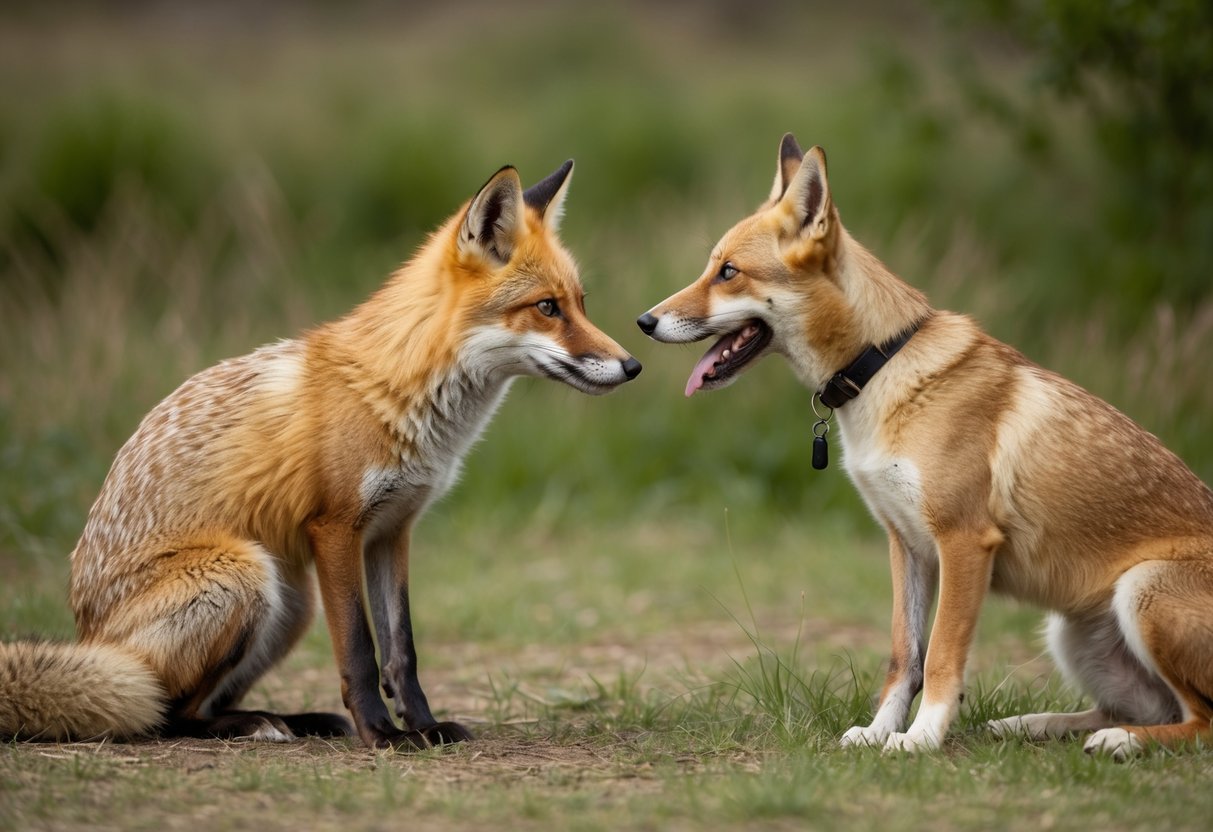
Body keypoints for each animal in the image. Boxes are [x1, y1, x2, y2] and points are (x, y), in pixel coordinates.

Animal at [0, 160, 641, 749]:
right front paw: (382, 736)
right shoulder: (335, 529)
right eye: (547, 307)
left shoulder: (393, 530)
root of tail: (89, 633)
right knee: (161, 714)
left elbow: (401, 651)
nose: (632, 364)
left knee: (190, 705)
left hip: (291, 603)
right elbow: (359, 649)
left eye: (581, 303)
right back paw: (256, 724)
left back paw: (292, 719)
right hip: (244, 576)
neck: (399, 392)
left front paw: (423, 727)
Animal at [637, 133, 1213, 759]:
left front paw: (922, 738)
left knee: (1198, 722)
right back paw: (1033, 725)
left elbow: (940, 660)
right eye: (712, 268)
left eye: (728, 272)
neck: (881, 366)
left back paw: (1121, 741)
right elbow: (903, 659)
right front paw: (880, 732)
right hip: (1072, 631)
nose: (644, 321)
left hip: (1141, 591)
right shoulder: (907, 546)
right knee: (1142, 708)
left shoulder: (963, 543)